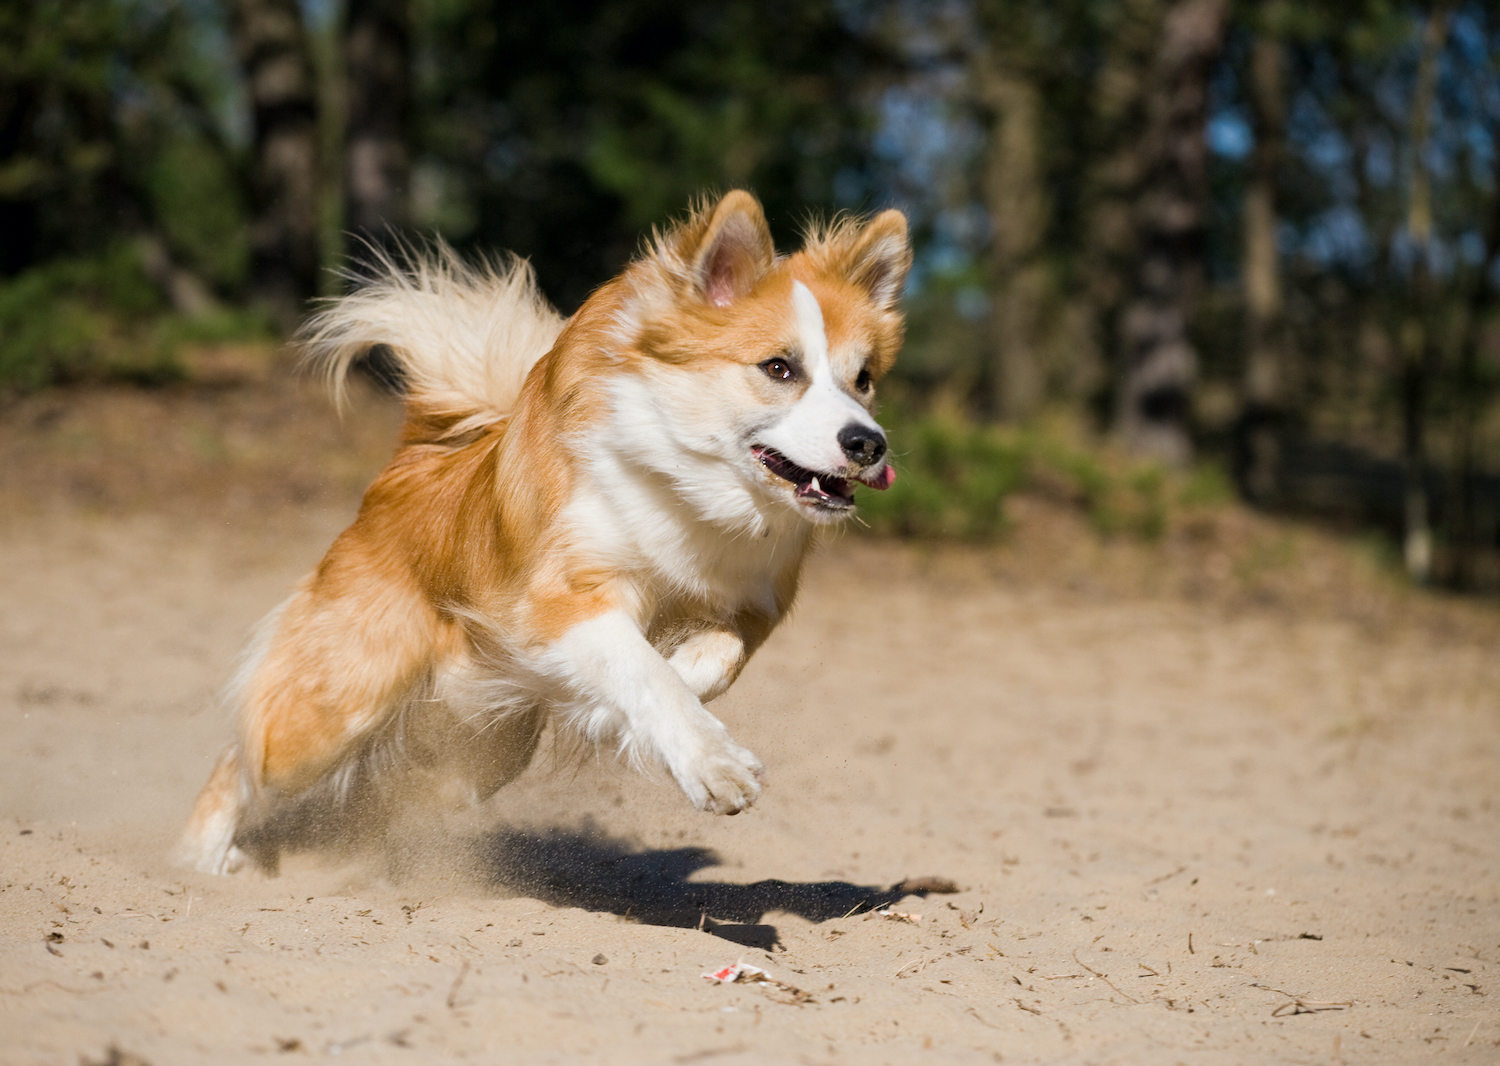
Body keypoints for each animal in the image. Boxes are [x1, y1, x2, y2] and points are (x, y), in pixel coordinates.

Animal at [170, 189, 906, 875]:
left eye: (863, 380)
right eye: (779, 368)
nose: (869, 443)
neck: (691, 489)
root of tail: (409, 465)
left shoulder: (749, 605)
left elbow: (709, 662)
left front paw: (620, 712)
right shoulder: (558, 599)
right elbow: (642, 668)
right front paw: (710, 762)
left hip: (480, 742)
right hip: (340, 702)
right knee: (246, 754)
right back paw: (202, 856)